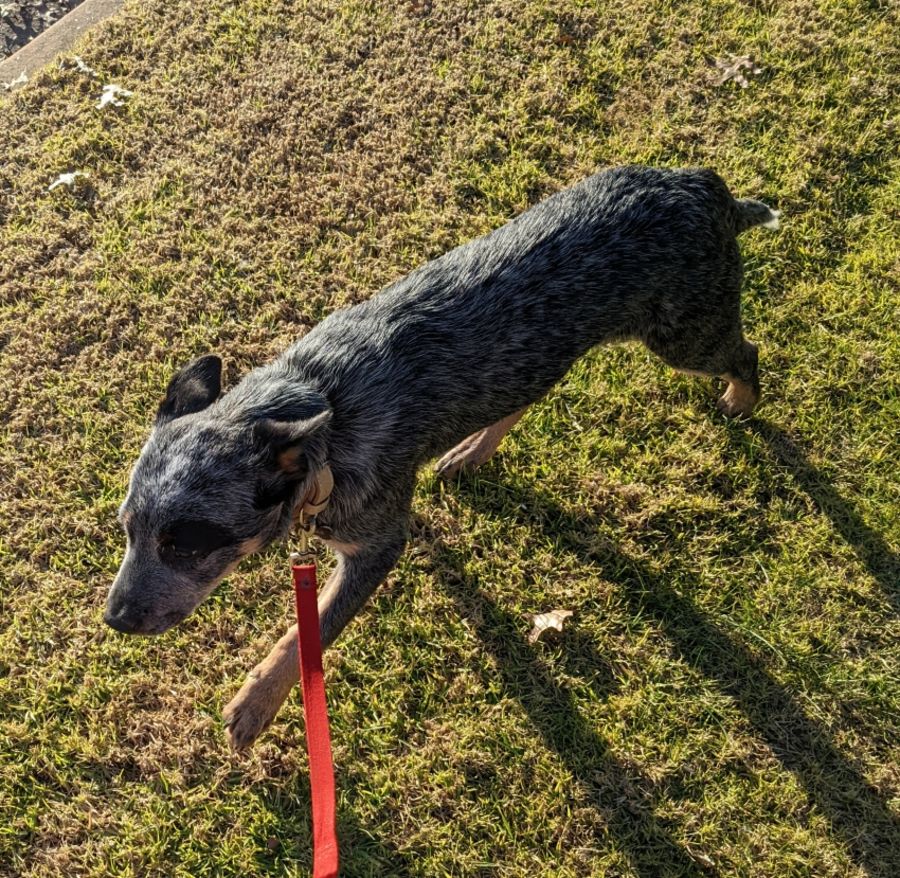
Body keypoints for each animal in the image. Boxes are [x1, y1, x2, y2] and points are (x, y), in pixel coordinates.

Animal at [105, 165, 779, 749]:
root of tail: (705, 185)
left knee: (747, 355)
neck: (322, 411)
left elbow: (308, 630)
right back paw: (471, 450)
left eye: (187, 545)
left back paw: (740, 402)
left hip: (687, 335)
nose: (114, 619)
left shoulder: (376, 547)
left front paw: (254, 705)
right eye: (127, 530)